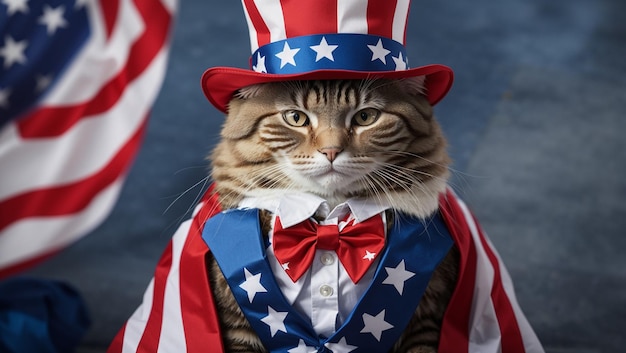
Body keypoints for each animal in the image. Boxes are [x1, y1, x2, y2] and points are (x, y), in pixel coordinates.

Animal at [207, 77, 456, 352]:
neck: (328, 219)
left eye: (366, 117)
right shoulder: (238, 319)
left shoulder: (426, 315)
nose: (331, 151)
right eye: (295, 118)